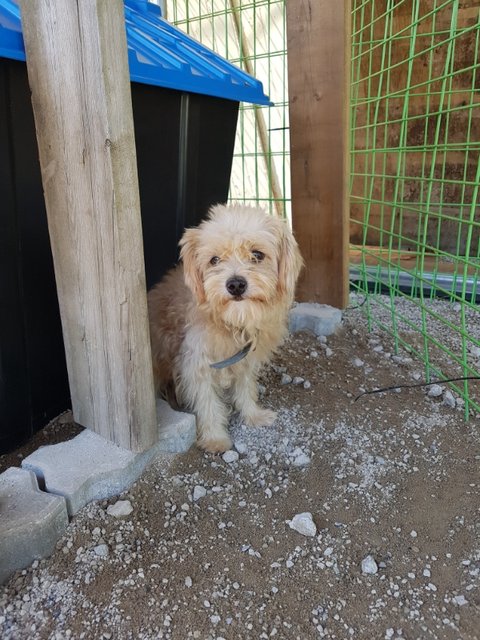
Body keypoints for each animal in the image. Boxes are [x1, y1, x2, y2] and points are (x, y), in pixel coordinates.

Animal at [147, 203, 303, 453]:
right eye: (214, 260)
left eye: (257, 255)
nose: (236, 284)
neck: (233, 324)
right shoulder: (198, 365)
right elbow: (208, 403)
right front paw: (215, 438)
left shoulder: (246, 359)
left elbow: (246, 388)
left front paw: (253, 415)